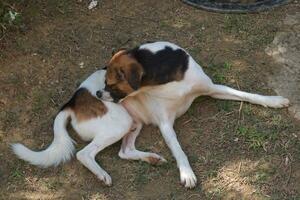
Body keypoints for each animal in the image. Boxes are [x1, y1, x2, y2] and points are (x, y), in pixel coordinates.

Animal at [99, 40, 290, 188]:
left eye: (111, 84)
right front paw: (187, 173)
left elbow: (245, 94)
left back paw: (152, 158)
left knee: (125, 151)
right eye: (105, 82)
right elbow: (178, 148)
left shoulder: (212, 89)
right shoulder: (165, 123)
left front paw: (273, 100)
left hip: (134, 124)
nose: (98, 94)